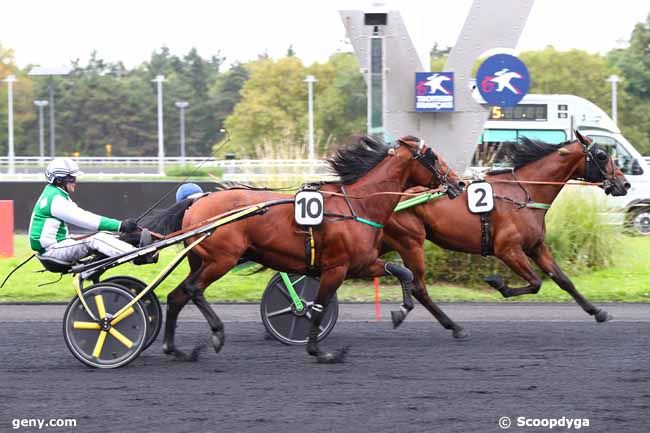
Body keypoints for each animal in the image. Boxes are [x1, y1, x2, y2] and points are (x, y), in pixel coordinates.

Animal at [144, 136, 464, 362]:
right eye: (434, 157)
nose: (459, 183)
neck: (357, 205)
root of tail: (197, 202)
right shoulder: (336, 268)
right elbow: (319, 306)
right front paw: (319, 351)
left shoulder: (360, 263)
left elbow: (402, 272)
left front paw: (402, 311)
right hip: (221, 259)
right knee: (194, 289)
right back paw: (217, 333)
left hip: (201, 260)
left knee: (177, 296)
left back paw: (176, 350)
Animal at [380, 130, 628, 336]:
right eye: (601, 155)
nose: (624, 184)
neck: (525, 193)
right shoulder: (508, 250)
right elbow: (536, 282)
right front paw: (497, 283)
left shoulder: (536, 247)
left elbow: (563, 280)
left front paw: (598, 312)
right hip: (411, 241)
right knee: (418, 287)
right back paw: (452, 326)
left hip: (388, 241)